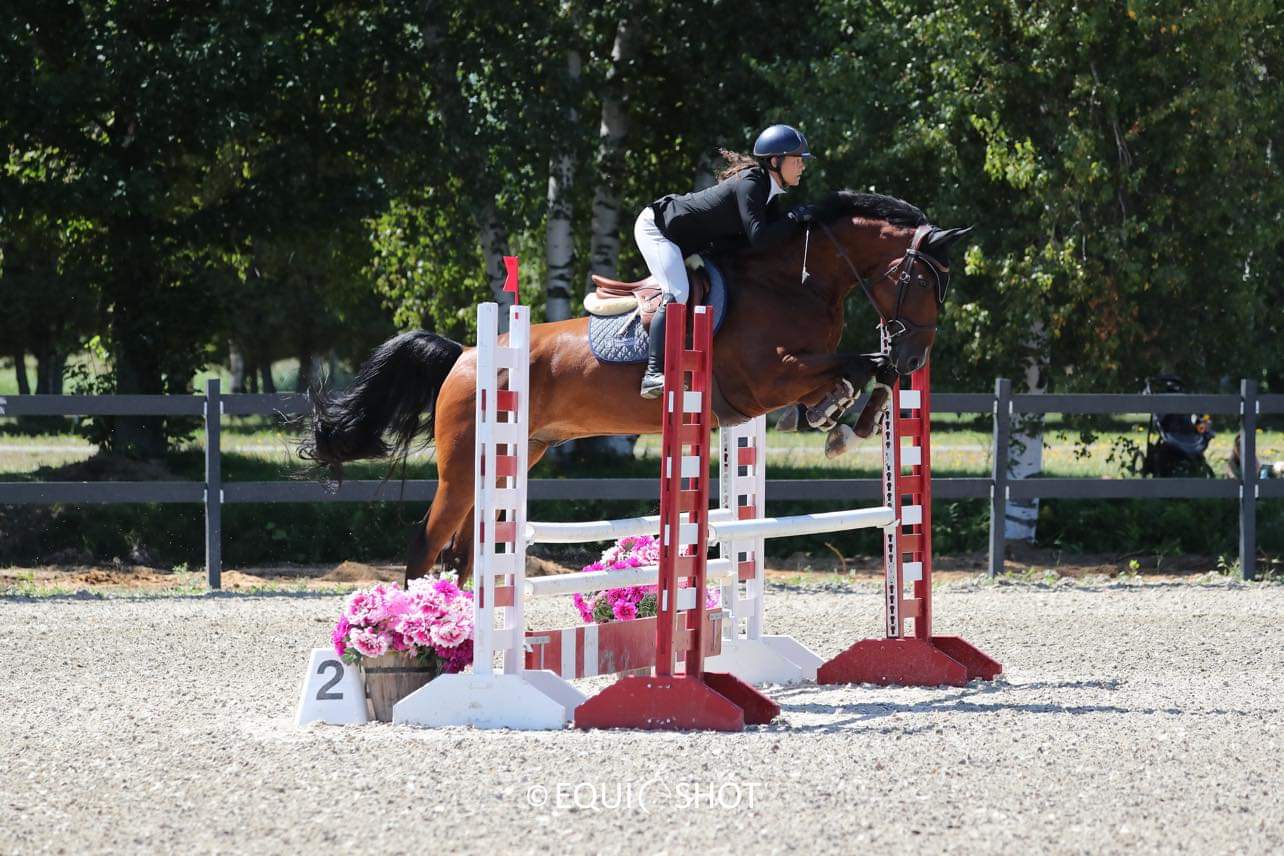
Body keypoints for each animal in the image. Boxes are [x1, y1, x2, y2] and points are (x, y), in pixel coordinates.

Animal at [297, 191, 970, 585]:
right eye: (923, 281)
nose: (916, 352)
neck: (793, 279)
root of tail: (465, 354)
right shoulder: (767, 378)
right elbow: (853, 366)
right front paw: (840, 424)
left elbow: (867, 371)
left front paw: (851, 422)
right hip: (463, 464)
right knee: (426, 544)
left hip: (517, 453)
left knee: (466, 551)